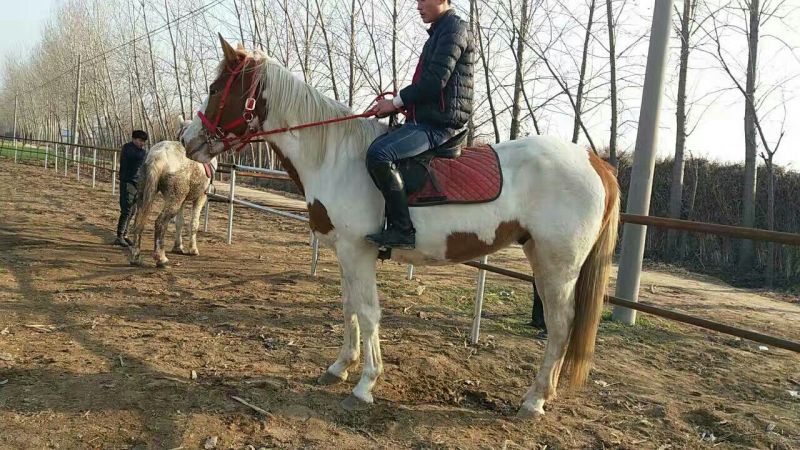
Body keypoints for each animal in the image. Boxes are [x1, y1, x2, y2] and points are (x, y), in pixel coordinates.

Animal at [128, 120, 218, 267]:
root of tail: (157, 156)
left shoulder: (182, 200)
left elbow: (179, 222)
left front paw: (178, 247)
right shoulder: (201, 197)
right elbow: (194, 223)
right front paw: (193, 249)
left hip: (146, 194)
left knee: (138, 220)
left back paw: (136, 257)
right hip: (174, 200)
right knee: (160, 222)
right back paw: (161, 259)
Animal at [179, 37, 620, 419]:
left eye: (217, 87)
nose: (186, 140)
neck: (337, 156)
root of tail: (595, 162)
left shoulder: (358, 251)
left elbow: (368, 312)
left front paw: (365, 385)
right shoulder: (345, 252)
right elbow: (349, 307)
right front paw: (340, 366)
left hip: (557, 267)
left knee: (560, 327)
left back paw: (534, 400)